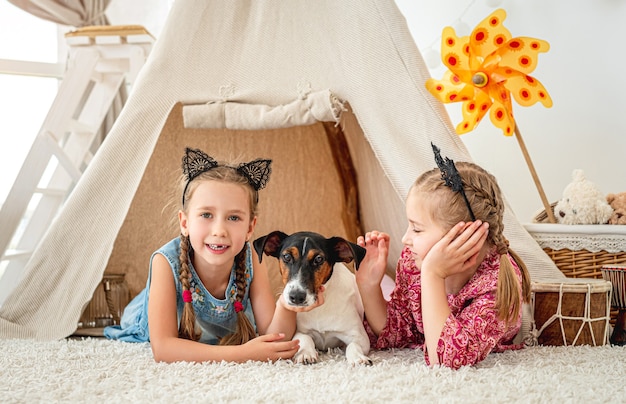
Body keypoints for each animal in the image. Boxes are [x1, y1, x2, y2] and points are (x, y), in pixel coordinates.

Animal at [254, 230, 370, 366]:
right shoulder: (296, 333)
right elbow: (305, 337)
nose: (296, 297)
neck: (319, 309)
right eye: (287, 257)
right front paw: (305, 353)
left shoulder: (360, 337)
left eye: (318, 259)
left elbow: (353, 345)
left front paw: (358, 358)